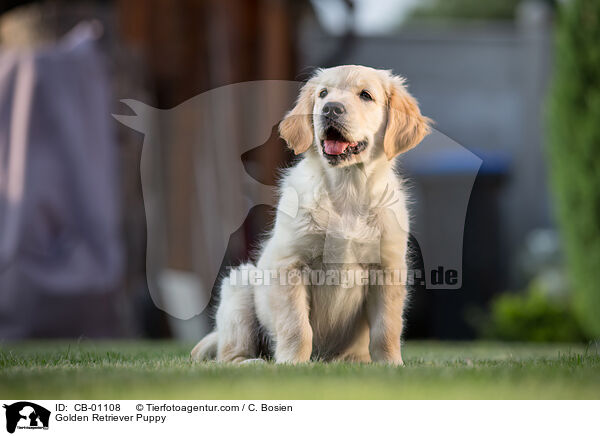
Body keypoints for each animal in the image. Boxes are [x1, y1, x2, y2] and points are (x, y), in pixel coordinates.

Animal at [192, 64, 432, 364]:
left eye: (366, 95)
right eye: (323, 94)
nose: (330, 109)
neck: (347, 190)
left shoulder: (387, 269)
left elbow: (386, 328)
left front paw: (391, 364)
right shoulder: (290, 265)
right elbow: (296, 326)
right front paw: (292, 364)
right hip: (240, 285)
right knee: (227, 357)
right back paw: (255, 362)